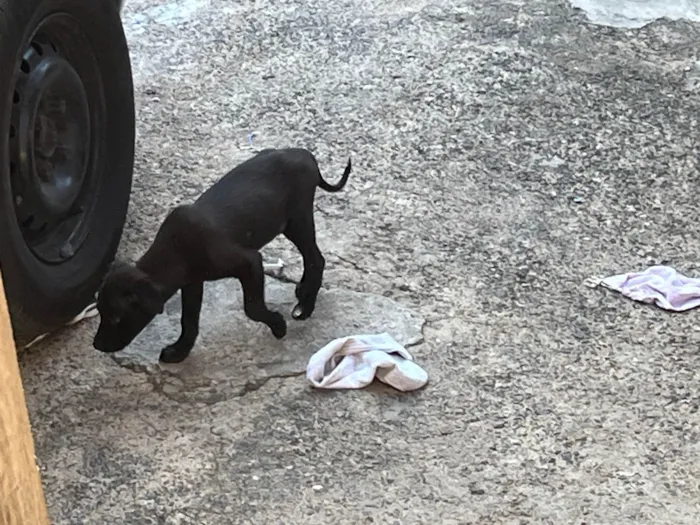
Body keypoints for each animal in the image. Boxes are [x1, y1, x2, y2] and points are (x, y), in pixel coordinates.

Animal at [93, 146, 352, 360]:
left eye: (116, 318)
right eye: (100, 311)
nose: (97, 345)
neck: (175, 251)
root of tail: (306, 154)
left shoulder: (250, 262)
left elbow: (252, 308)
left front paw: (278, 324)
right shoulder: (192, 283)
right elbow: (188, 320)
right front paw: (180, 351)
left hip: (297, 219)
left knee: (316, 259)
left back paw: (306, 304)